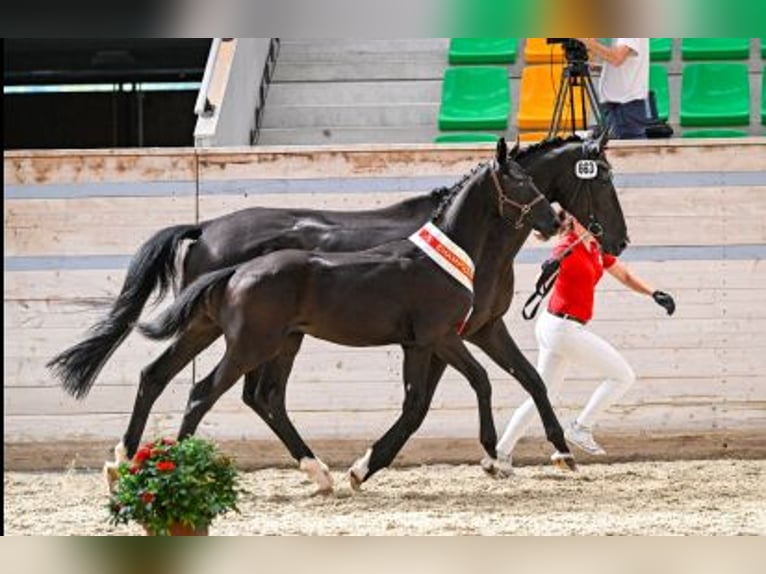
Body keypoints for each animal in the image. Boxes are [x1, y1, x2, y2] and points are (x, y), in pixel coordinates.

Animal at [49, 133, 628, 485]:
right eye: (599, 176)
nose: (617, 239)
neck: (457, 247)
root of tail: (206, 227)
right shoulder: (446, 336)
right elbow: (432, 401)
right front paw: (378, 464)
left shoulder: (480, 329)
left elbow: (527, 380)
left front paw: (557, 451)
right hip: (247, 339)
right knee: (213, 390)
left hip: (234, 332)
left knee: (180, 380)